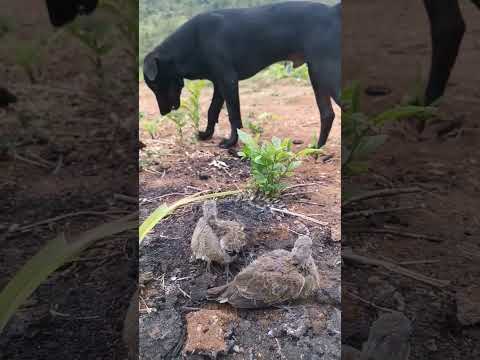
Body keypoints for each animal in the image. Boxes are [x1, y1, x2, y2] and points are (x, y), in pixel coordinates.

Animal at [143, 1, 342, 148]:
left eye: (155, 85)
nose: (163, 112)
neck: (193, 41)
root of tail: (332, 11)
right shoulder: (219, 84)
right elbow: (212, 111)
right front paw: (207, 134)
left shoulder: (228, 81)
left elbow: (233, 115)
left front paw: (231, 142)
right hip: (317, 76)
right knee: (327, 114)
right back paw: (317, 147)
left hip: (326, 74)